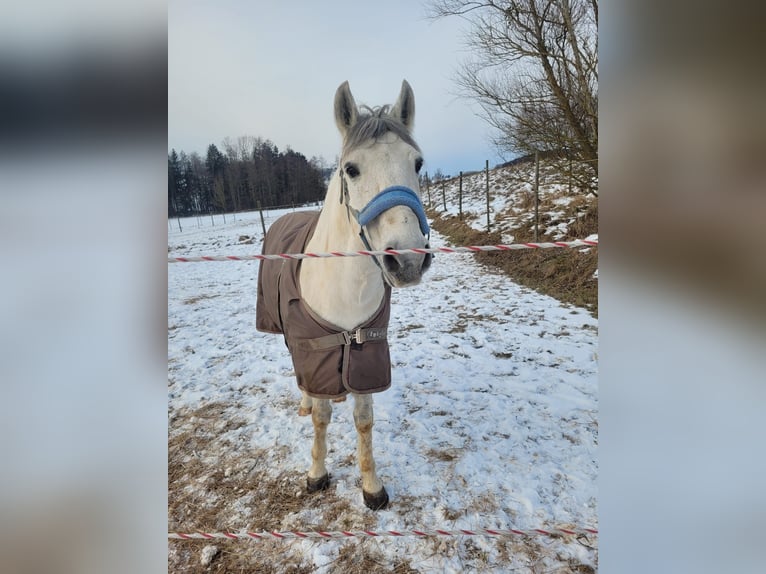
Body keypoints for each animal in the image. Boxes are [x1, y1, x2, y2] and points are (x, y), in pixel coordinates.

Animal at [256, 80, 431, 510]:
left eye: (417, 163)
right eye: (351, 169)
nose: (407, 260)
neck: (344, 286)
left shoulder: (366, 350)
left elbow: (364, 420)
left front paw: (371, 486)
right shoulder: (313, 348)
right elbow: (321, 419)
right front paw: (317, 474)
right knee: (304, 385)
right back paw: (306, 401)